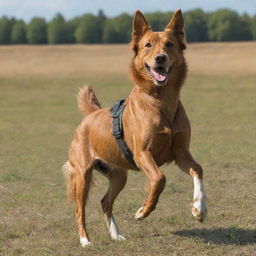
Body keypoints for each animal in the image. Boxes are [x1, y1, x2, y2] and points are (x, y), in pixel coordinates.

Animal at [63, 9, 207, 246]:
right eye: (148, 45)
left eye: (170, 44)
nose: (160, 58)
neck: (160, 102)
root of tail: (91, 114)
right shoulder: (142, 153)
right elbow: (159, 179)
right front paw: (143, 211)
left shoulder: (181, 153)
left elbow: (198, 169)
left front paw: (199, 209)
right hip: (83, 174)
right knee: (79, 209)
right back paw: (85, 240)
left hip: (118, 175)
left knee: (105, 202)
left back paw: (116, 234)